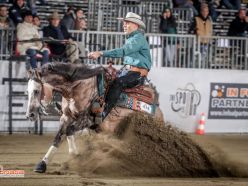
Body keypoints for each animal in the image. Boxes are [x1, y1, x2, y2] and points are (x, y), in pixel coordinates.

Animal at [26, 62, 164, 173]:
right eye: (27, 91)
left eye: (36, 91)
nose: (30, 115)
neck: (77, 87)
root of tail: (157, 109)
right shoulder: (65, 117)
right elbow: (58, 137)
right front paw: (42, 164)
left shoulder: (87, 120)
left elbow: (69, 130)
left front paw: (76, 156)